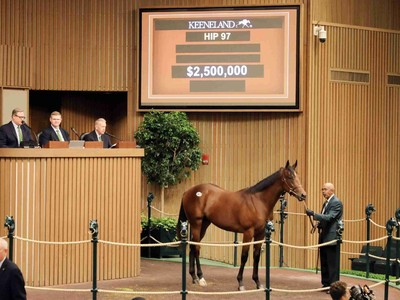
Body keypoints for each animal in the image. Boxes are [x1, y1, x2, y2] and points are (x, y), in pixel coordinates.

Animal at [177, 162, 306, 290]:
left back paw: (194, 277)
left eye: (298, 176)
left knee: (192, 246)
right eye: (290, 177)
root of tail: (188, 191)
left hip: (204, 224)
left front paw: (258, 282)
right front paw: (240, 283)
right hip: (196, 224)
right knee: (196, 248)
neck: (258, 201)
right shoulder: (248, 232)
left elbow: (256, 256)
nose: (303, 195)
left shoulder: (260, 233)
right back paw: (201, 278)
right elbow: (244, 256)